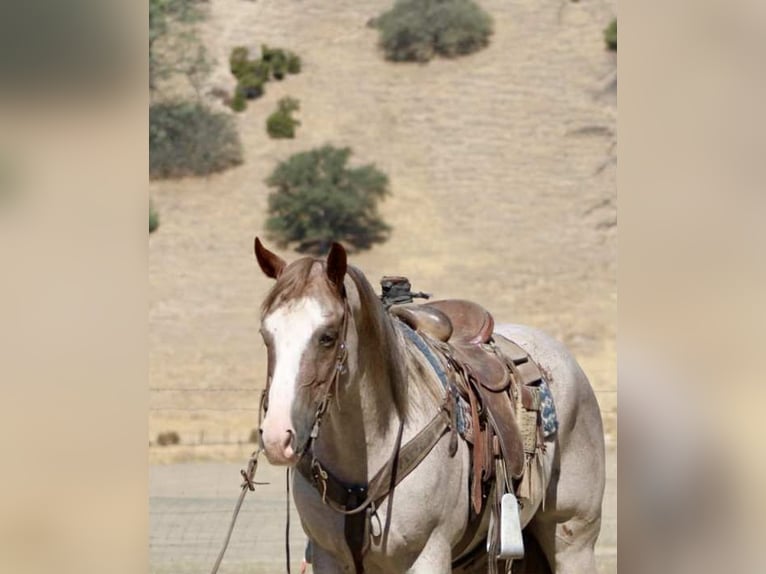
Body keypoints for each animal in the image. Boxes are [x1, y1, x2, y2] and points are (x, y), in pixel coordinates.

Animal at [253, 238, 605, 573]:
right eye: (265, 335)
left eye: (327, 336)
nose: (276, 438)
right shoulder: (328, 556)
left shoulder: (428, 555)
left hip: (573, 540)